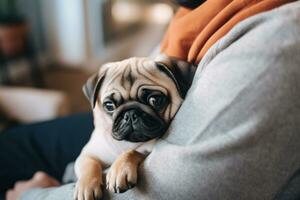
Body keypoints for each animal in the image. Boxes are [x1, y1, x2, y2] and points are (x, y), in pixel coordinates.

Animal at [74, 55, 196, 199]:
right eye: (109, 106)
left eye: (155, 100)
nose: (130, 114)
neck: (126, 143)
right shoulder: (87, 154)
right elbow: (89, 165)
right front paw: (85, 186)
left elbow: (133, 151)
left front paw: (120, 168)